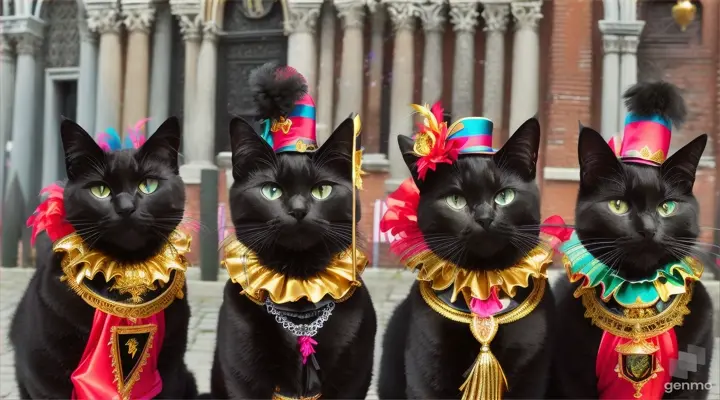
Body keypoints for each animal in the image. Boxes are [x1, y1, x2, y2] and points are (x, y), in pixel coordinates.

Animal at [9, 119, 200, 400]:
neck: (128, 274)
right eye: (100, 190)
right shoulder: (43, 374)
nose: (126, 208)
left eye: (148, 185)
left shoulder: (171, 367)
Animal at [208, 115, 376, 396]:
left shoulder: (353, 379)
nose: (298, 210)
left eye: (322, 190)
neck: (300, 299)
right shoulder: (241, 378)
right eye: (271, 190)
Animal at [380, 119, 556, 400]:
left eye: (504, 196)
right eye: (456, 200)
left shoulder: (532, 368)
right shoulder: (426, 367)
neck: (483, 284)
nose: (484, 218)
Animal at [552, 87, 716, 396]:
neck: (638, 295)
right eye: (618, 205)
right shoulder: (572, 377)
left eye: (667, 207)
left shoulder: (692, 377)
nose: (648, 229)